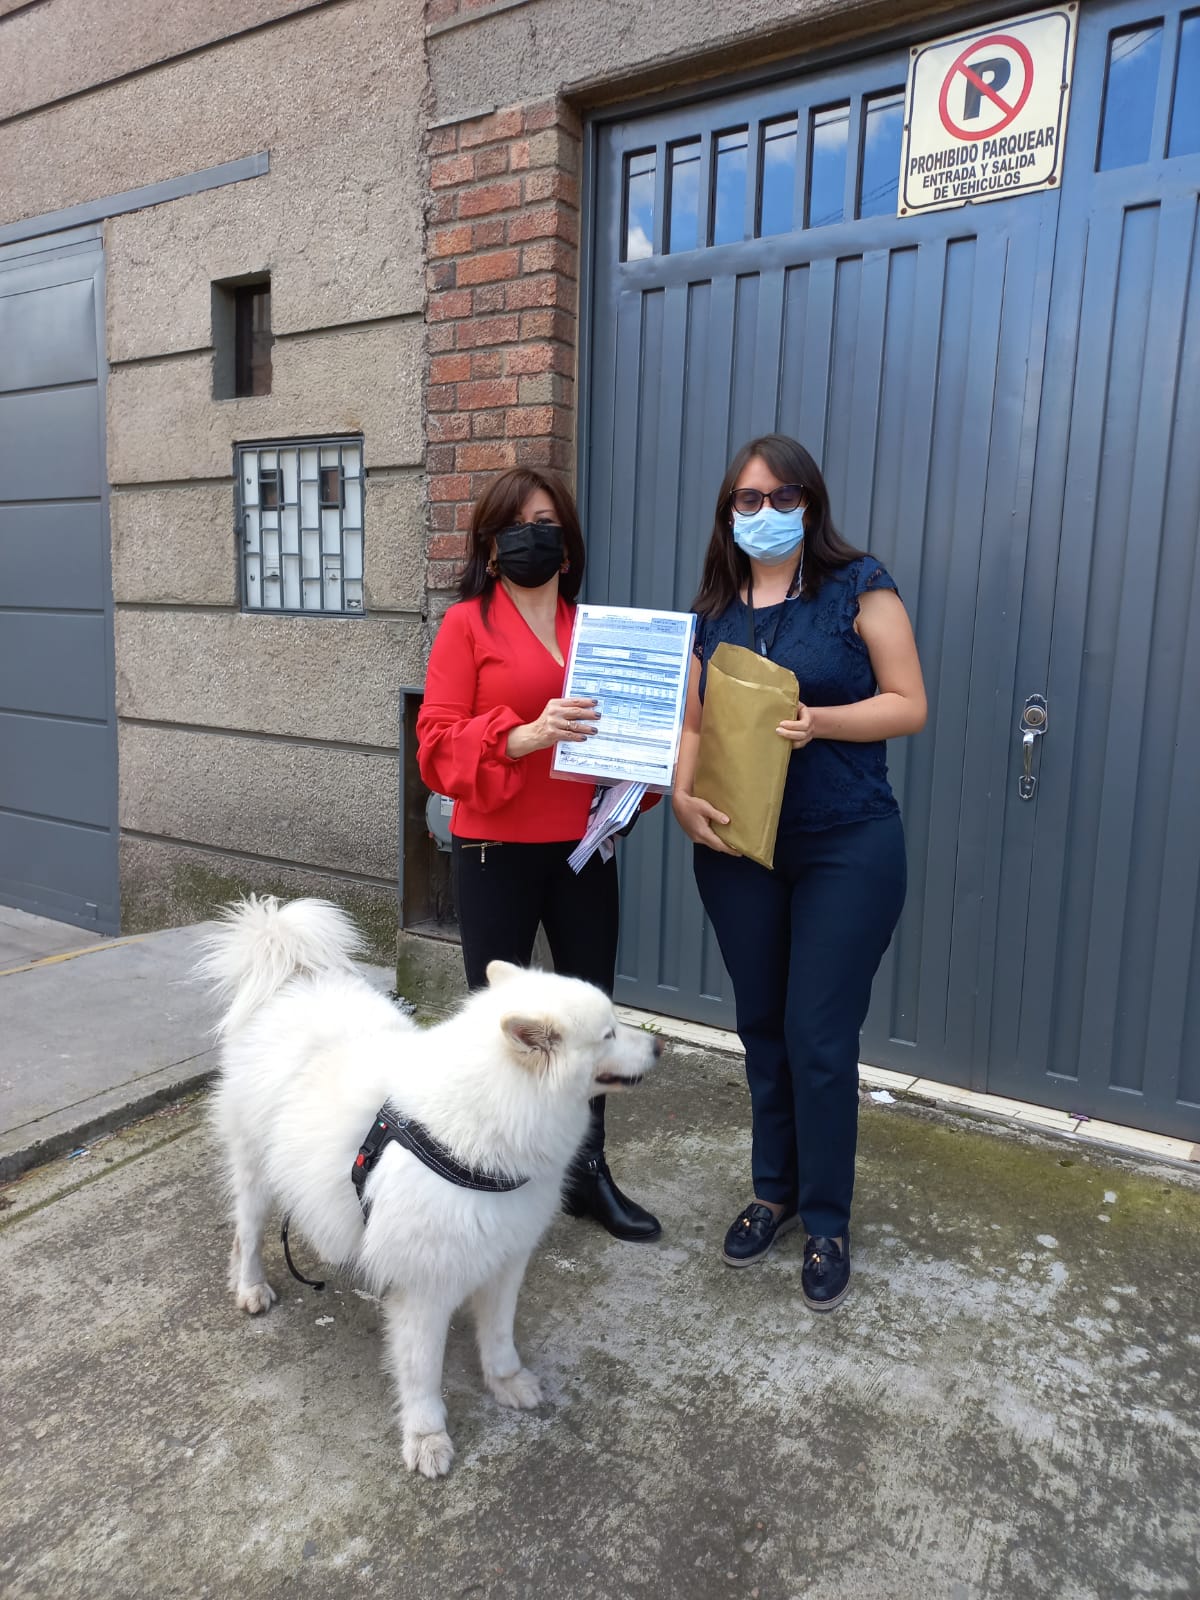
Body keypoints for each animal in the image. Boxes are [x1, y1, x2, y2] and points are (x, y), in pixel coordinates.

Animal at [199, 895, 661, 1478]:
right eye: (609, 1035)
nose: (660, 1046)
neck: (481, 1129)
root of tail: (291, 982)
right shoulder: (425, 1287)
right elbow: (421, 1371)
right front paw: (426, 1437)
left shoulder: (505, 1257)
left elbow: (500, 1336)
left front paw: (506, 1382)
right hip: (256, 1174)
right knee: (247, 1232)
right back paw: (250, 1287)